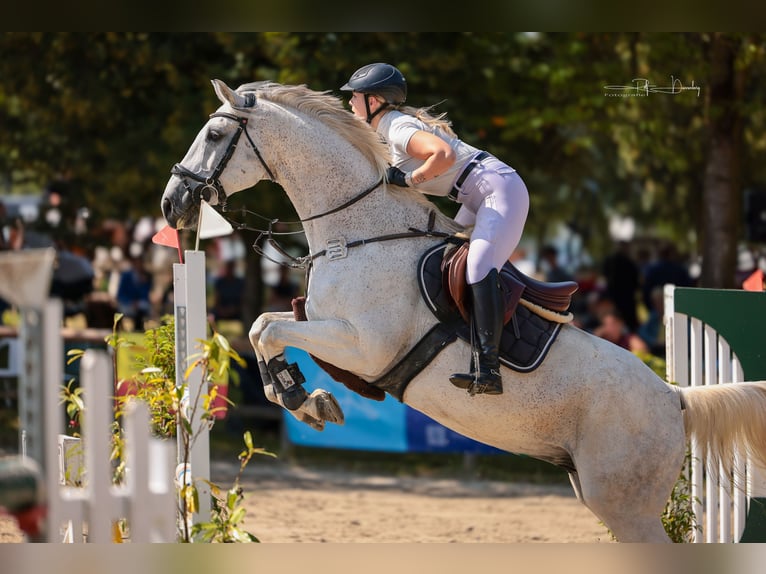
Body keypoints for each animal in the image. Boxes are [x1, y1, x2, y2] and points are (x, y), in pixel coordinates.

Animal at [161, 79, 766, 542]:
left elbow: (266, 329)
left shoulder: (363, 344)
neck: (358, 233)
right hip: (605, 496)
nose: (172, 205)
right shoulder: (325, 327)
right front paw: (307, 400)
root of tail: (674, 398)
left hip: (626, 504)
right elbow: (264, 327)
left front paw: (301, 399)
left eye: (214, 134)